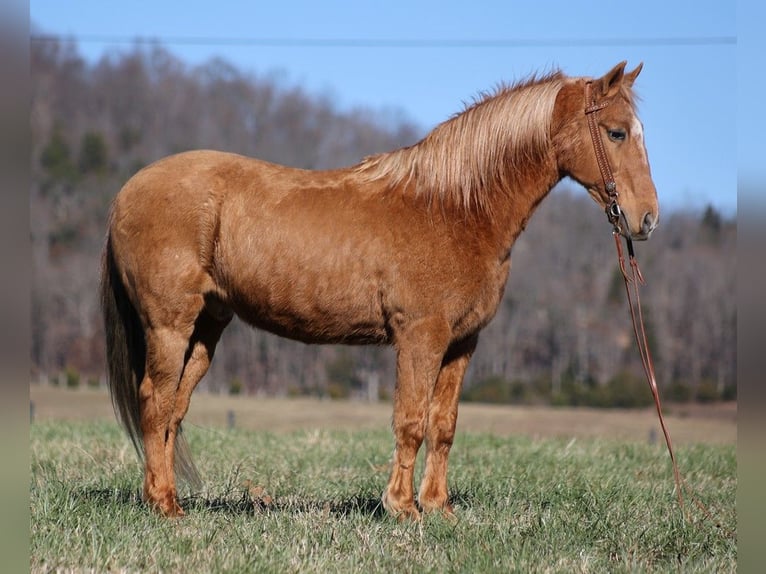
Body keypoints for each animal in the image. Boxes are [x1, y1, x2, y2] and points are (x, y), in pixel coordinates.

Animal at [100, 60, 660, 520]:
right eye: (615, 132)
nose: (646, 218)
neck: (456, 208)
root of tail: (127, 191)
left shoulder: (462, 342)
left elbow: (443, 424)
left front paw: (437, 507)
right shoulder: (420, 337)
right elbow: (409, 420)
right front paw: (402, 508)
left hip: (207, 327)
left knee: (173, 410)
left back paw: (167, 497)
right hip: (169, 325)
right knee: (153, 400)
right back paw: (164, 505)